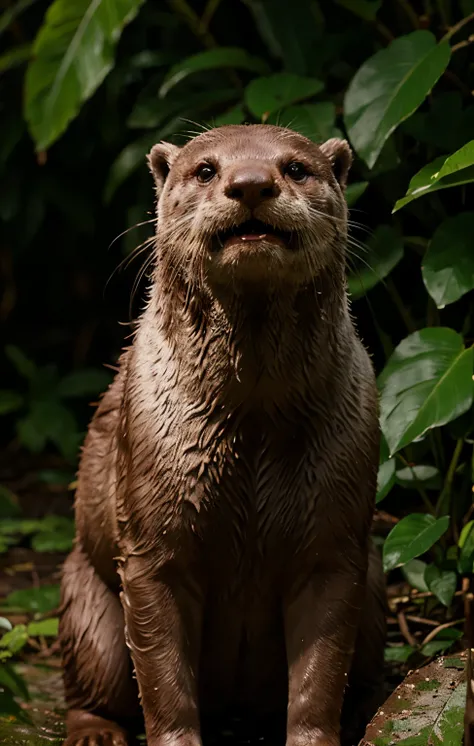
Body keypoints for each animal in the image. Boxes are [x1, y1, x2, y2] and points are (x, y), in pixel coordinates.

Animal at [58, 125, 386, 744]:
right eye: (206, 169)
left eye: (296, 168)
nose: (251, 183)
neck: (251, 422)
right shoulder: (151, 547)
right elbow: (162, 679)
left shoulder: (335, 547)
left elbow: (321, 673)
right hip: (84, 599)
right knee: (92, 680)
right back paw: (95, 730)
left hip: (376, 582)